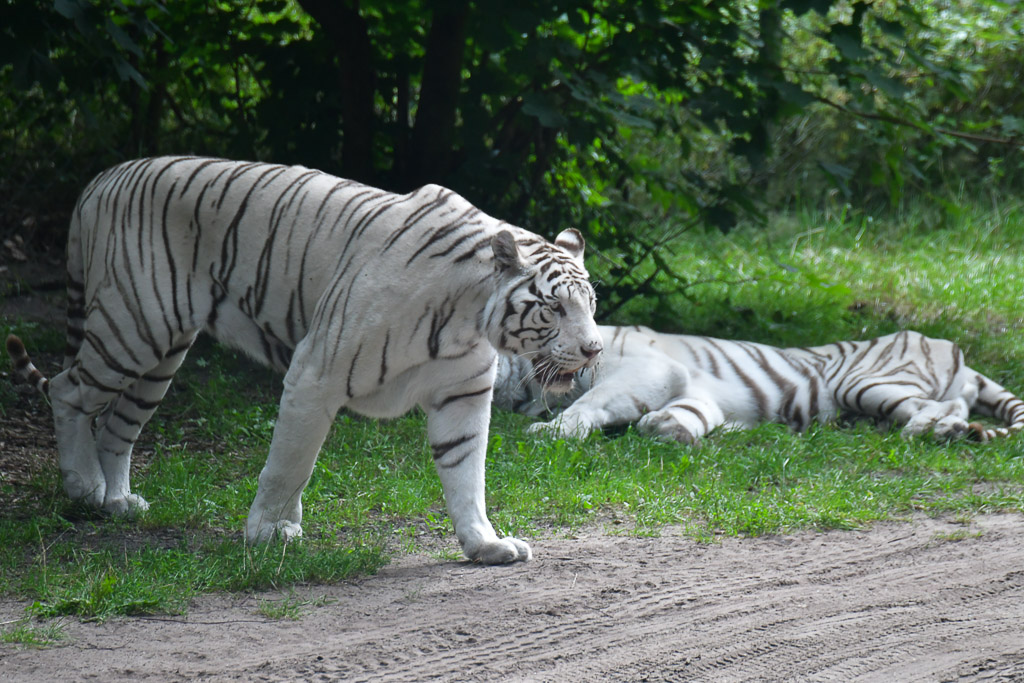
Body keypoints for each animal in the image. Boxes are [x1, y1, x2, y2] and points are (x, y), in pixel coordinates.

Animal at [5, 156, 603, 565]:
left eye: (591, 305)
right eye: (554, 308)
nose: (594, 348)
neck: (468, 318)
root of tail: (101, 179)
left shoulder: (461, 395)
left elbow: (466, 474)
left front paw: (485, 544)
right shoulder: (315, 374)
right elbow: (290, 463)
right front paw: (266, 533)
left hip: (162, 353)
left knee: (117, 425)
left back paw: (118, 502)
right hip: (132, 327)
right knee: (68, 390)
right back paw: (83, 487)